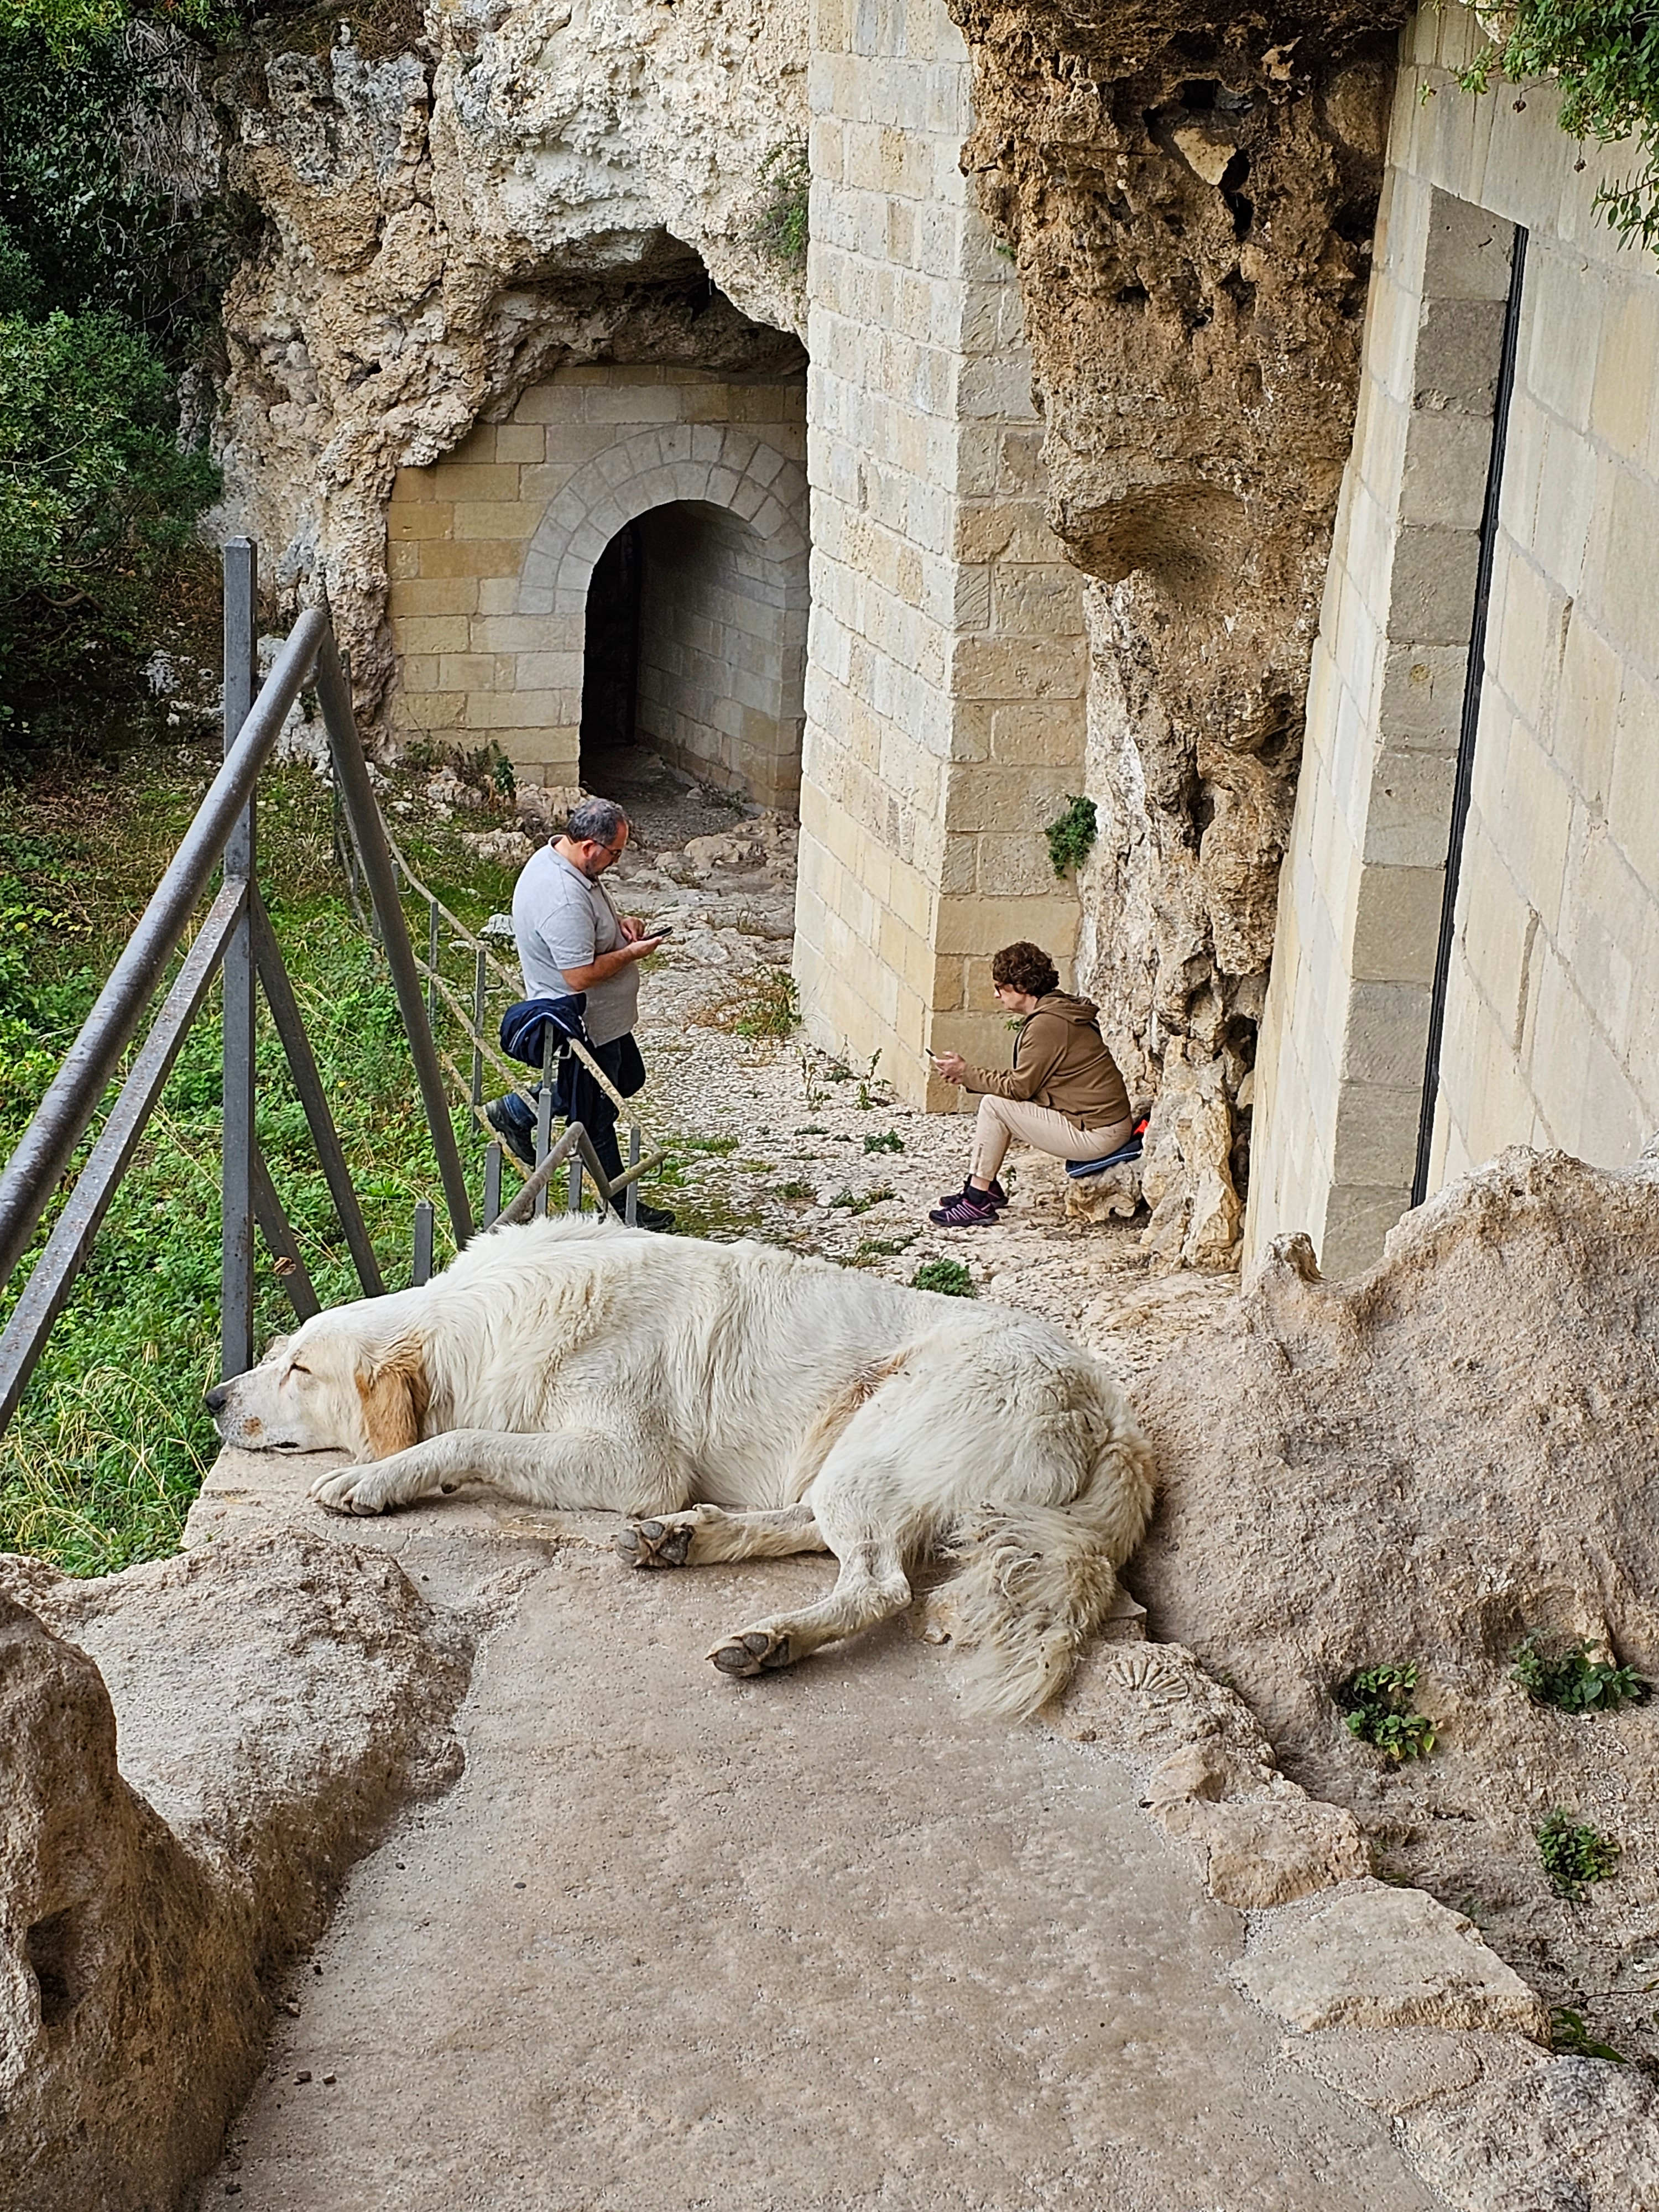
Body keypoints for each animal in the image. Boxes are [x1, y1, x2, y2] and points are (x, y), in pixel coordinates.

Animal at [208, 1221, 1159, 1717]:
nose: (214, 1398)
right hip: (847, 1453)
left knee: (880, 1583)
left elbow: (464, 1440)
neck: (502, 1314)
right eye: (278, 1352)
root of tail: (1113, 1411)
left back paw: (772, 1639)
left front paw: (375, 1480)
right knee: (812, 1529)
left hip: (880, 1446)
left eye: (300, 1369)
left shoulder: (632, 1463)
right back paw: (685, 1541)